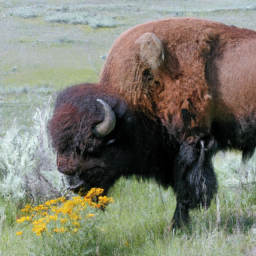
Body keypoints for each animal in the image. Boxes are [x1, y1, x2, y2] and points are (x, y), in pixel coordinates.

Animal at [48, 18, 256, 228]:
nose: (73, 184)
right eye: (57, 147)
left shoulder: (193, 141)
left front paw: (177, 226)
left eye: (92, 148)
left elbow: (187, 188)